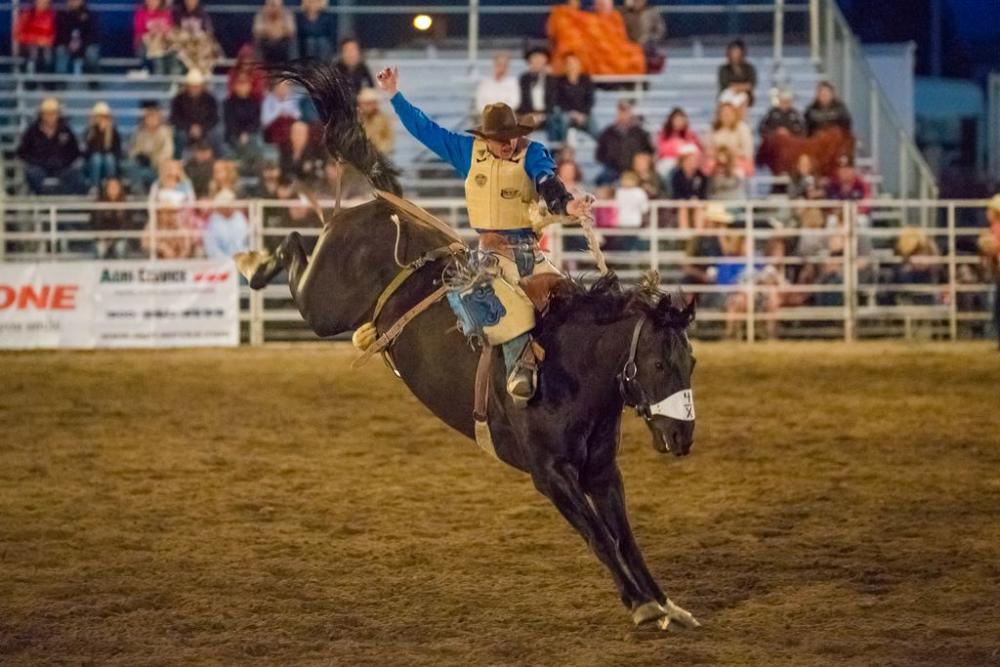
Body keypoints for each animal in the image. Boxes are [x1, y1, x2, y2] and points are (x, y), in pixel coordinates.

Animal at [239, 61, 701, 630]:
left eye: (691, 363)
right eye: (658, 363)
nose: (682, 437)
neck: (574, 370)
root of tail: (380, 204)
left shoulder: (601, 470)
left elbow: (625, 537)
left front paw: (665, 602)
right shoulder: (551, 476)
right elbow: (600, 537)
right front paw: (640, 604)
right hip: (323, 304)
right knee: (294, 246)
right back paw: (254, 261)